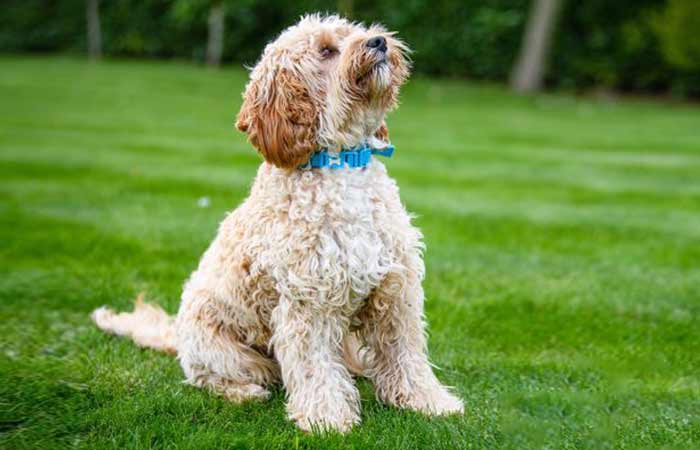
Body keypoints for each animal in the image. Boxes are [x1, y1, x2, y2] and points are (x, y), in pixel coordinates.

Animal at [93, 14, 464, 432]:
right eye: (326, 50)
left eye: (354, 32)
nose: (379, 42)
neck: (342, 163)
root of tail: (176, 332)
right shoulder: (308, 302)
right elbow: (315, 367)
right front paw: (327, 420)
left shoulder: (395, 292)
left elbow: (407, 355)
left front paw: (429, 402)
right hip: (224, 350)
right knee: (213, 378)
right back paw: (245, 393)